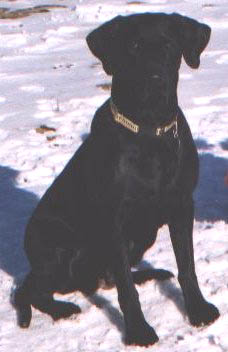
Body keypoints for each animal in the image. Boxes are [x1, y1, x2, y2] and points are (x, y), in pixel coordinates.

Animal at [13, 13, 219, 346]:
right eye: (133, 46)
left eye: (169, 45)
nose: (155, 79)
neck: (150, 132)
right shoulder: (114, 220)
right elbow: (126, 290)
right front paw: (138, 331)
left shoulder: (181, 205)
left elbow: (187, 267)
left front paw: (198, 311)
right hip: (59, 246)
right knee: (32, 290)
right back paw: (62, 309)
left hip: (143, 235)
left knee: (106, 277)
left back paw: (151, 274)